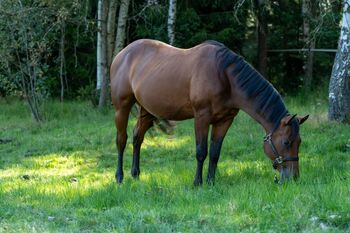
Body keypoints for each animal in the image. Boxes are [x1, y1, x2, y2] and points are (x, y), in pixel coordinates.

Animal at [110, 39, 308, 186]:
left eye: (299, 141)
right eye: (286, 141)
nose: (294, 177)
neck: (224, 76)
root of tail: (122, 54)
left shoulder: (225, 120)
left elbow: (214, 153)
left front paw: (211, 182)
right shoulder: (201, 117)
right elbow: (201, 151)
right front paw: (197, 183)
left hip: (147, 110)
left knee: (137, 138)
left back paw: (135, 174)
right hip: (121, 107)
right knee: (121, 140)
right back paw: (119, 177)